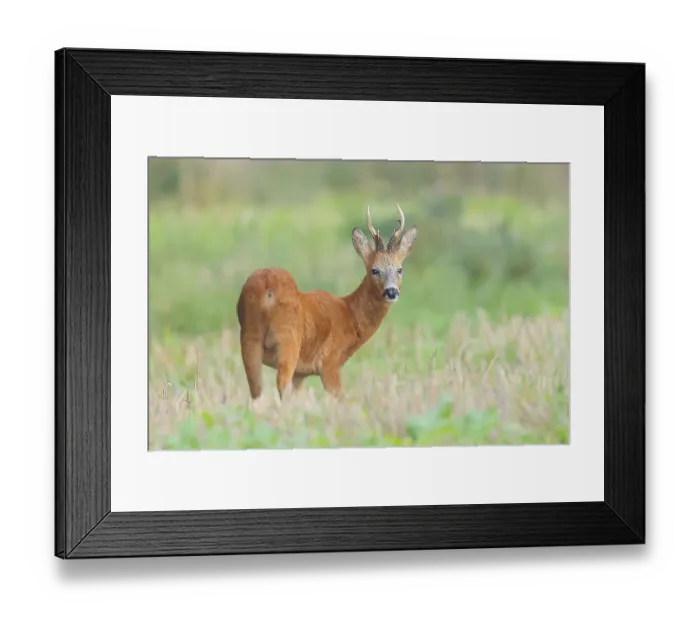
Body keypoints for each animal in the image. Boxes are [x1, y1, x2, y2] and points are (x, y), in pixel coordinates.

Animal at [236, 204, 418, 403]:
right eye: (374, 270)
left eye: (399, 269)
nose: (391, 291)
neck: (350, 315)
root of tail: (267, 285)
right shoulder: (329, 362)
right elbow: (340, 399)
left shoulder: (301, 372)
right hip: (288, 338)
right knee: (280, 385)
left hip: (250, 337)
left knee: (256, 391)